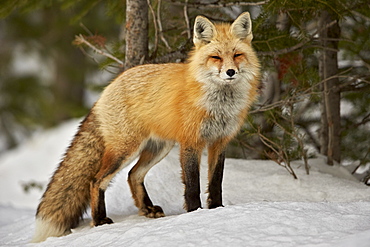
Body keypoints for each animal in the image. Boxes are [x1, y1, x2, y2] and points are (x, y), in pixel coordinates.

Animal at [31, 11, 262, 241]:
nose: (230, 72)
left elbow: (215, 182)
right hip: (125, 150)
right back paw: (99, 220)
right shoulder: (191, 143)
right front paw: (194, 213)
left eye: (237, 55)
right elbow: (192, 185)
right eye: (216, 57)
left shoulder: (220, 141)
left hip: (159, 148)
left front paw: (217, 209)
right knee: (96, 181)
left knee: (133, 175)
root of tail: (109, 87)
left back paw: (147, 209)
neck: (219, 105)